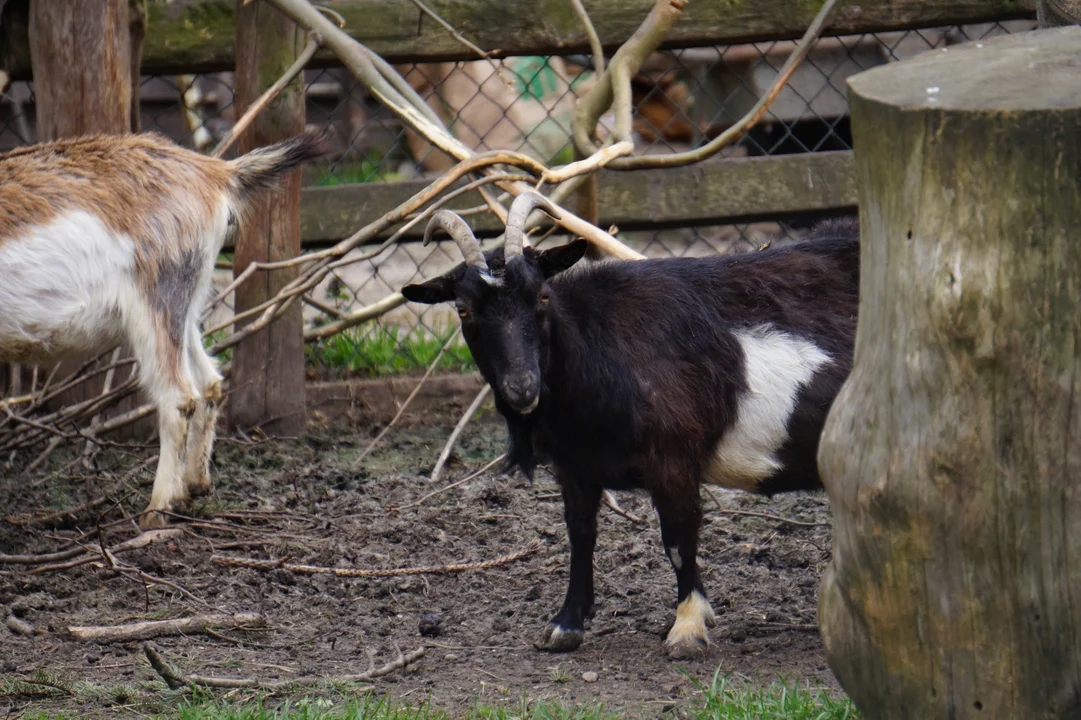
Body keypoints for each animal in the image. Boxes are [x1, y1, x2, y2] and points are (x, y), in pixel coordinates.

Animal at [0, 129, 328, 525]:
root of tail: (215, 171)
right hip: (183, 306)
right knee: (209, 382)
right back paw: (193, 488)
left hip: (153, 306)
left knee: (178, 396)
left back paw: (156, 512)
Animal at [402, 190, 856, 657]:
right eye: (463, 309)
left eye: (541, 296)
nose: (522, 387)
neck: (600, 346)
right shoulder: (575, 466)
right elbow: (581, 533)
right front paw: (565, 624)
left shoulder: (673, 459)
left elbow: (677, 538)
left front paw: (688, 629)